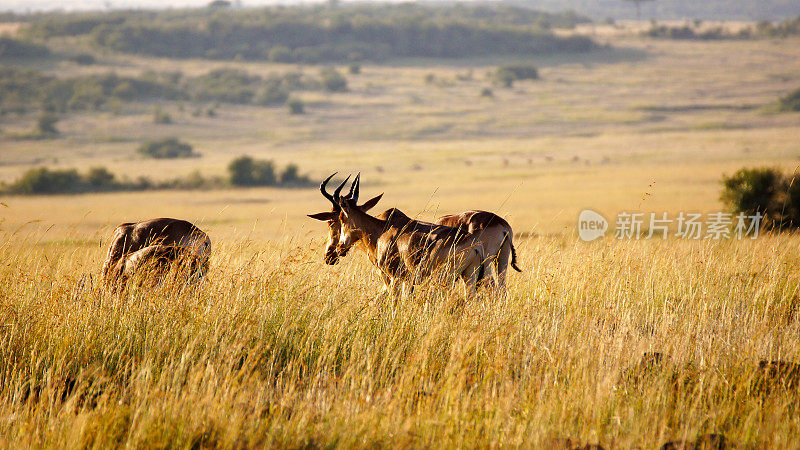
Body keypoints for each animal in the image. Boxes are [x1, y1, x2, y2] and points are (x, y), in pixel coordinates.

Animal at [304, 174, 520, 290]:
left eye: (334, 221)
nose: (331, 254)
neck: (382, 227)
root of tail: (503, 226)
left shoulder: (391, 277)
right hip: (496, 264)